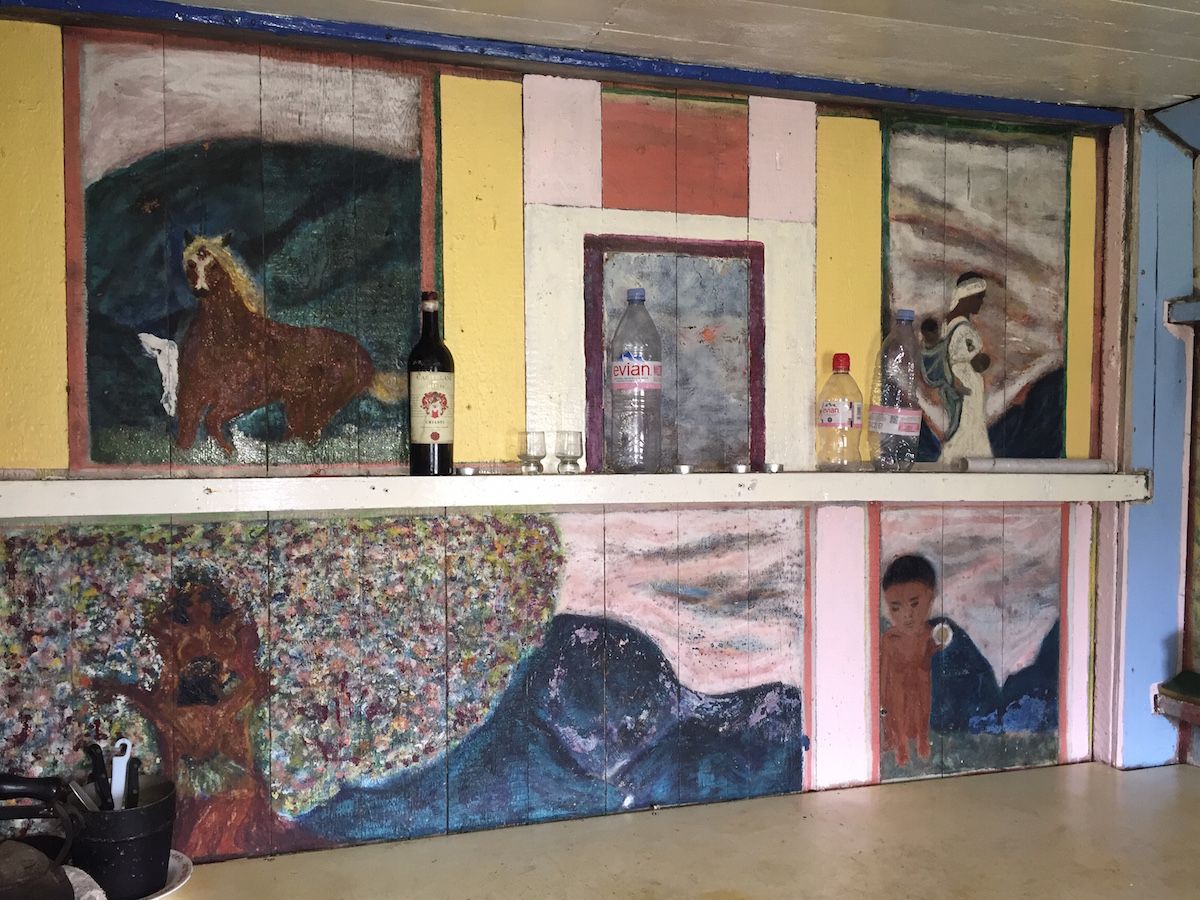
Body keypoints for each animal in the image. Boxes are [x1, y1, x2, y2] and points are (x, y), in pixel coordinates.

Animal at [176, 232, 406, 455]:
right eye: (191, 264)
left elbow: (212, 420)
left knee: (307, 435)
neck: (226, 336)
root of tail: (368, 362)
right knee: (298, 434)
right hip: (299, 403)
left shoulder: (244, 396)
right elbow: (186, 435)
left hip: (321, 404)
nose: (201, 290)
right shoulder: (191, 394)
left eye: (214, 265)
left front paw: (231, 453)